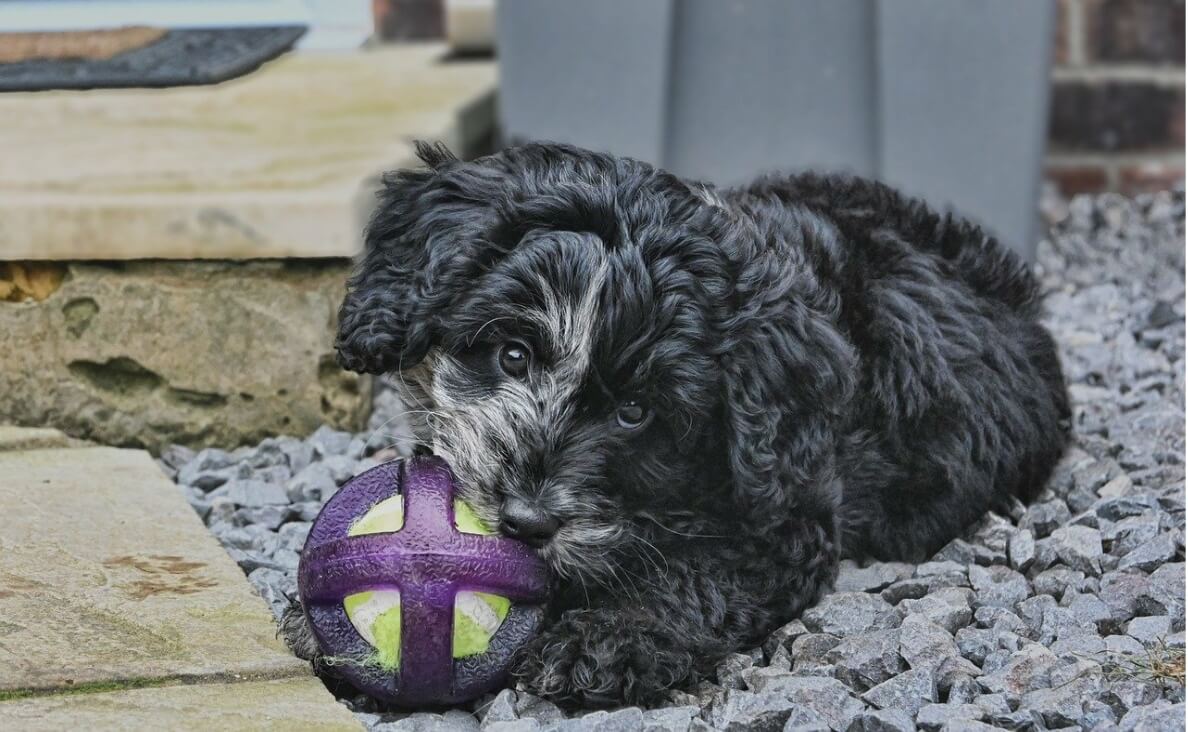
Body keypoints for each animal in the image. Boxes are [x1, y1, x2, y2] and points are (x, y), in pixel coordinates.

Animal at [282, 140, 1073, 708]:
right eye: (512, 354)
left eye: (636, 412)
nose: (527, 523)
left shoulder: (788, 517)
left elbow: (697, 573)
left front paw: (605, 640)